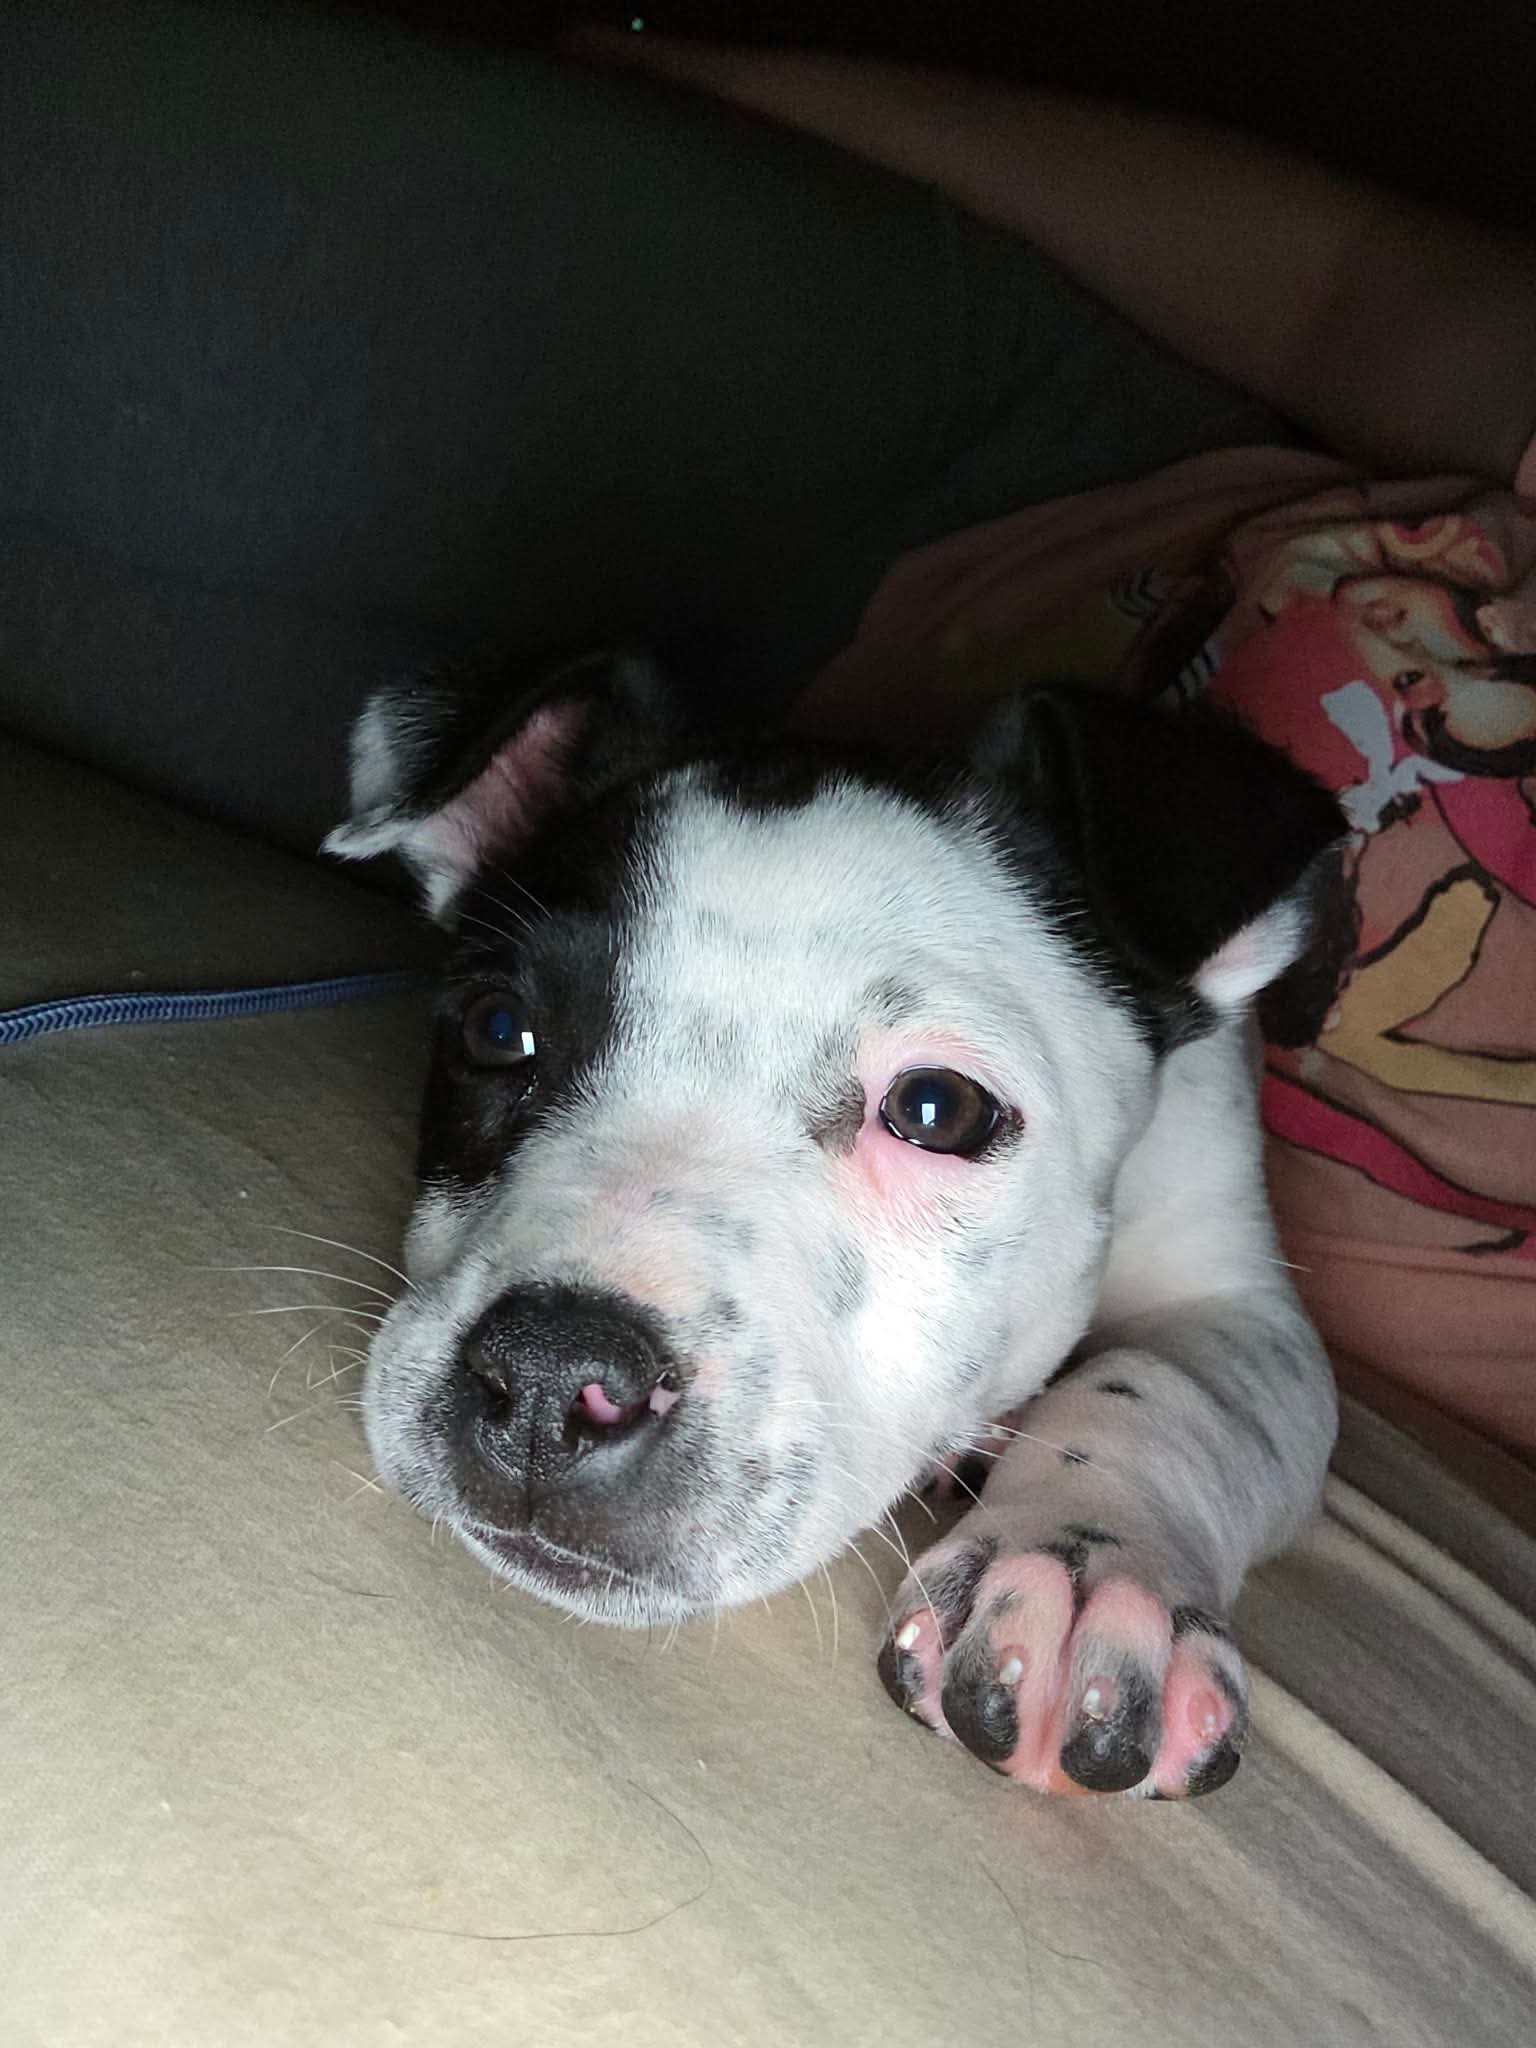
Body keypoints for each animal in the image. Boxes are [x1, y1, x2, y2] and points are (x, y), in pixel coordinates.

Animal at [324, 651, 1344, 1799]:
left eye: (938, 1110)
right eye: (498, 1029)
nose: (549, 1374)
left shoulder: (1235, 1293)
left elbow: (1158, 1383)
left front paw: (1087, 1566)